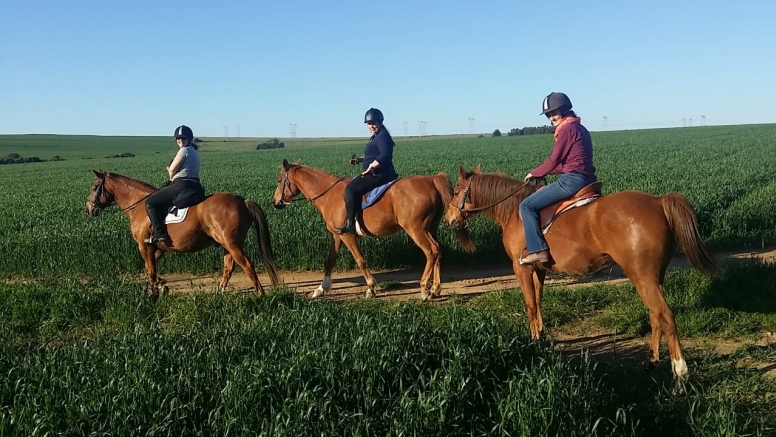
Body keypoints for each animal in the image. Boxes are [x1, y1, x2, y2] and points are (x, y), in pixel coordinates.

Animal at [85, 169, 278, 294]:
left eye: (94, 187)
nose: (88, 209)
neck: (139, 205)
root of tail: (243, 201)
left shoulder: (144, 246)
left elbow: (150, 269)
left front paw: (155, 291)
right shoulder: (158, 247)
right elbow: (150, 267)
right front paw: (162, 284)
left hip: (232, 244)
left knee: (247, 265)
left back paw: (260, 294)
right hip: (227, 244)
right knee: (229, 267)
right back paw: (221, 291)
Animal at [272, 159, 478, 300]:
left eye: (279, 180)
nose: (275, 202)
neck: (329, 194)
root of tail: (431, 179)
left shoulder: (348, 235)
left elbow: (360, 260)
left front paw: (371, 288)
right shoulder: (337, 235)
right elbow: (330, 261)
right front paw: (321, 289)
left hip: (416, 230)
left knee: (431, 251)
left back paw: (424, 289)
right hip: (430, 228)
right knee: (438, 251)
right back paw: (435, 288)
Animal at [446, 164, 724, 378]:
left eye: (457, 191)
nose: (449, 219)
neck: (514, 210)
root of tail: (658, 201)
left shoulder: (520, 267)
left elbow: (530, 304)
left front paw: (534, 341)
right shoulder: (538, 269)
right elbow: (539, 300)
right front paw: (542, 336)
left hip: (642, 275)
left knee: (664, 315)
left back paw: (680, 372)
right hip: (655, 276)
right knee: (656, 315)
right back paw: (651, 361)